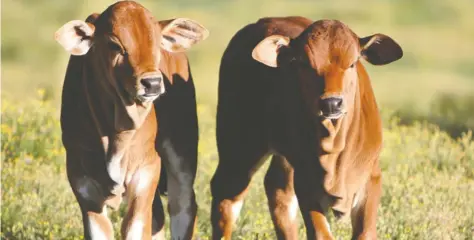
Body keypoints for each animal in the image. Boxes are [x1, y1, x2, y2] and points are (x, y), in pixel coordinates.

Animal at [53, 0, 207, 239]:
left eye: (157, 43)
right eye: (115, 45)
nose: (152, 83)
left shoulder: (146, 172)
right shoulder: (84, 185)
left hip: (182, 152)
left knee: (182, 206)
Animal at [213, 15, 402, 239]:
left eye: (353, 63)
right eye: (304, 63)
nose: (331, 103)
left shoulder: (371, 175)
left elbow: (365, 232)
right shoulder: (306, 180)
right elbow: (321, 233)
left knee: (277, 190)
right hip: (238, 141)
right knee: (227, 193)